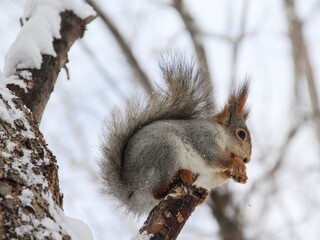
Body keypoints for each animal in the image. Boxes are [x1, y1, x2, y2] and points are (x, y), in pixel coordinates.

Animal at [99, 55, 251, 216]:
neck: (220, 134)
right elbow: (213, 157)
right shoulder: (203, 136)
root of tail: (130, 192)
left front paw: (241, 176)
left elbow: (217, 174)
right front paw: (237, 164)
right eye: (241, 134)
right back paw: (181, 175)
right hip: (166, 150)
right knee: (156, 191)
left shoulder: (209, 175)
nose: (247, 159)